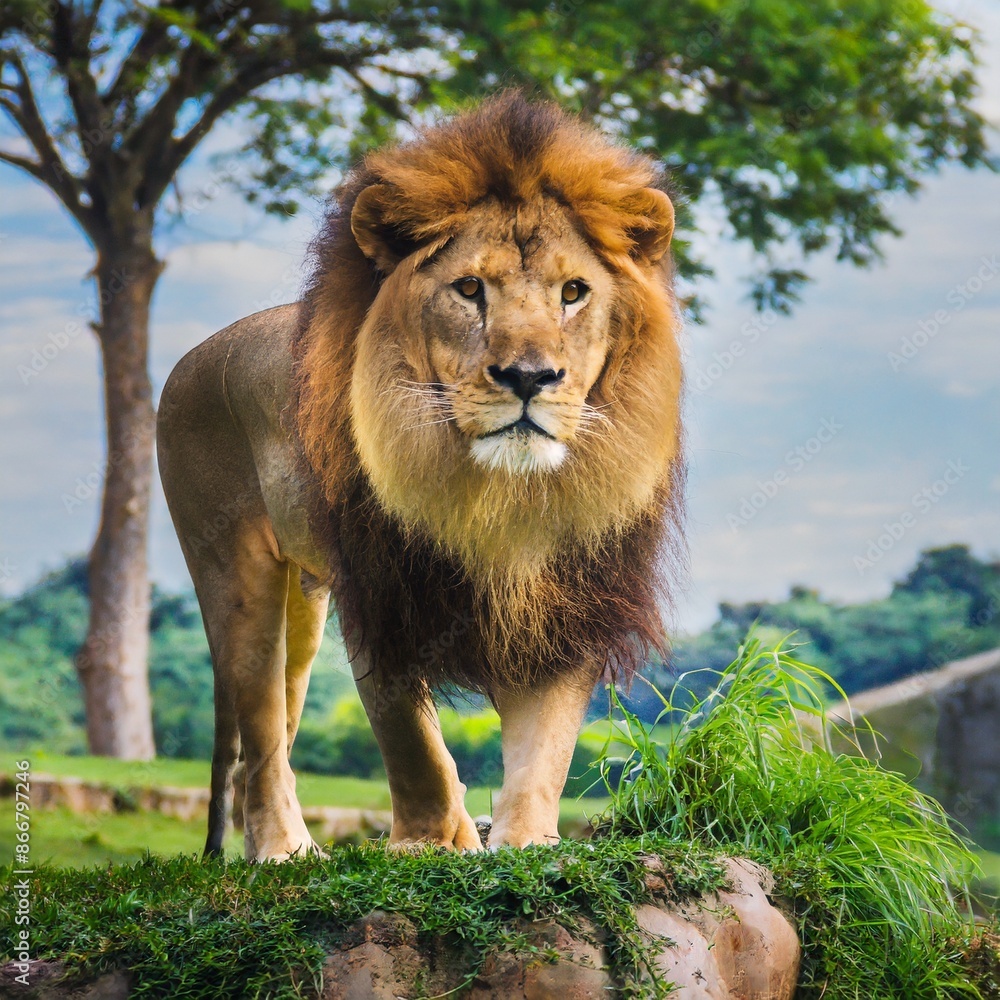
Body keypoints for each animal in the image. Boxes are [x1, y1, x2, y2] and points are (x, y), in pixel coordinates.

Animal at [156, 92, 684, 862]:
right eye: (468, 289)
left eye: (573, 292)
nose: (529, 377)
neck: (498, 493)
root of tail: (192, 356)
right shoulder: (382, 595)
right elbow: (411, 739)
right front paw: (431, 842)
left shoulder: (569, 594)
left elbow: (547, 743)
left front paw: (526, 843)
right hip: (235, 573)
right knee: (259, 732)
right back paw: (282, 850)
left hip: (304, 599)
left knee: (278, 727)